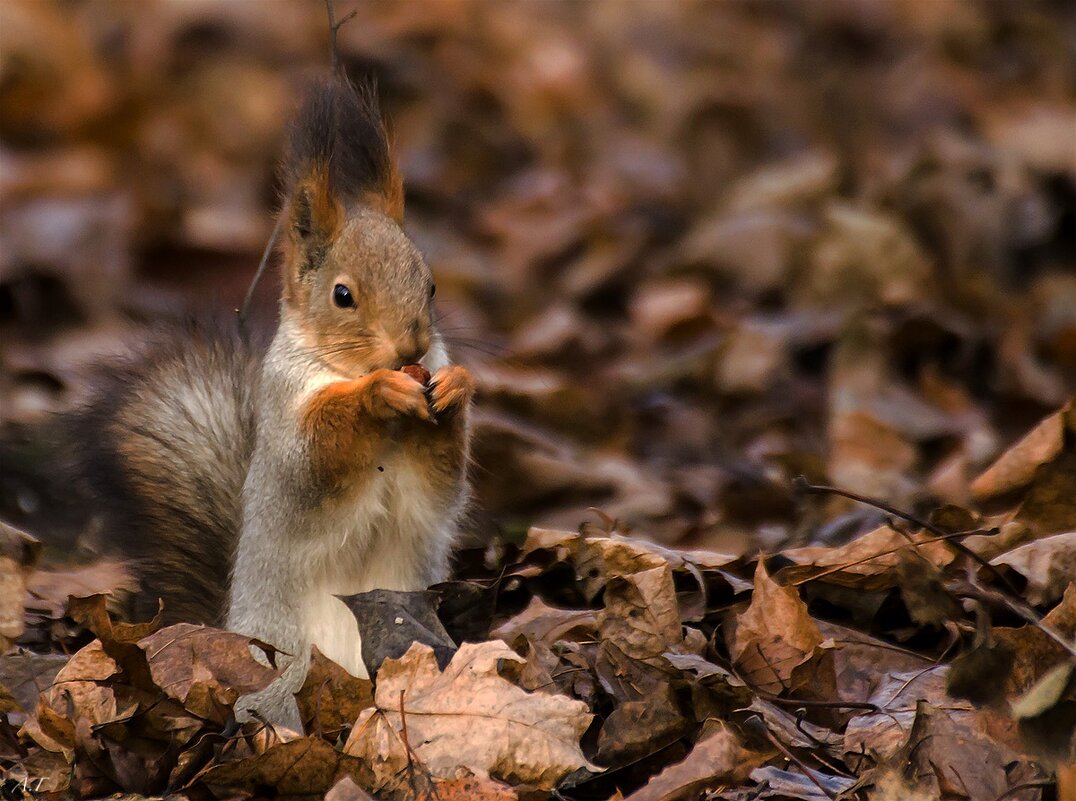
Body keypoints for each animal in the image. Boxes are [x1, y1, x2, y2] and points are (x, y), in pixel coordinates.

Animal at [59, 79, 475, 727]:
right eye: (342, 295)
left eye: (430, 286)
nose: (412, 348)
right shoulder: (285, 426)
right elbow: (314, 461)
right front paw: (376, 394)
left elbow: (442, 479)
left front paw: (455, 387)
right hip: (277, 668)